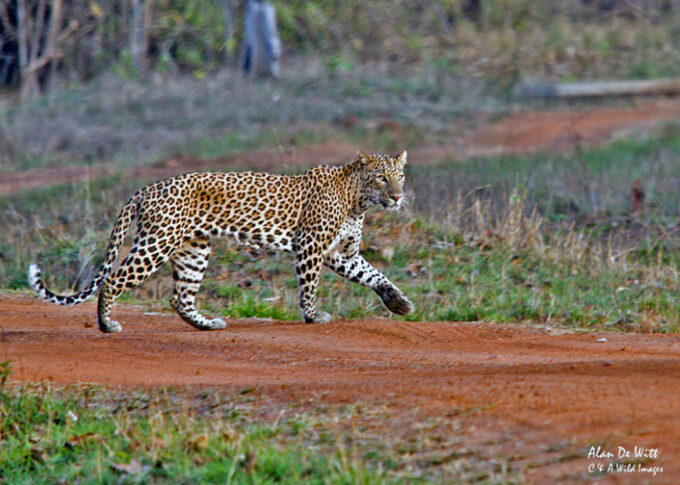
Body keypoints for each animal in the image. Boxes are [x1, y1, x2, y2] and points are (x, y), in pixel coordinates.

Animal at [29, 151, 414, 333]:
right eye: (382, 179)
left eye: (400, 176)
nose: (397, 197)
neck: (358, 200)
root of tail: (148, 188)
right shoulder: (311, 247)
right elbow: (310, 286)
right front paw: (313, 316)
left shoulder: (341, 253)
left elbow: (374, 274)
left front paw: (398, 303)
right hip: (156, 243)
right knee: (112, 280)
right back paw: (107, 325)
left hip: (194, 249)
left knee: (179, 297)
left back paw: (207, 324)